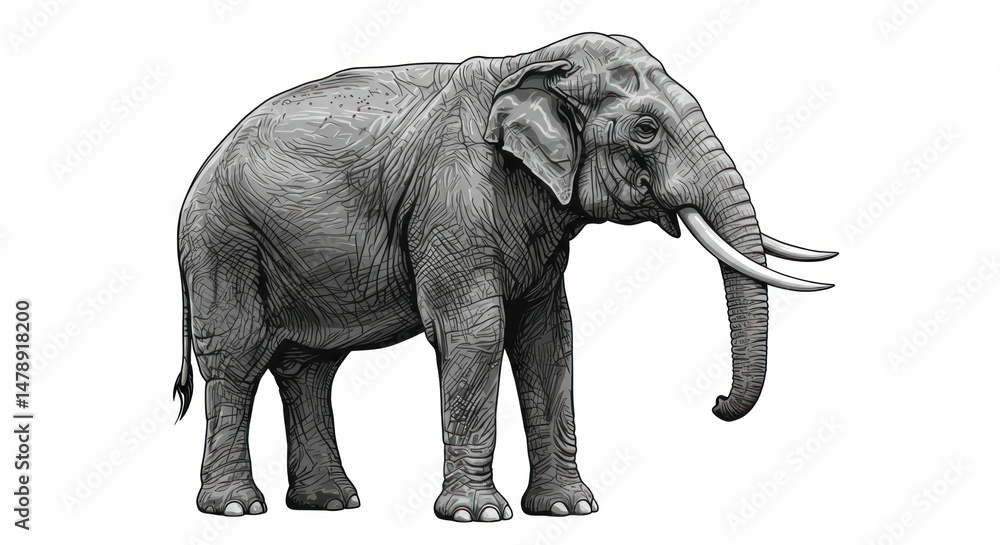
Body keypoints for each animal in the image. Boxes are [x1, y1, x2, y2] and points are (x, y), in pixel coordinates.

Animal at [173, 32, 835, 522]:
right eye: (645, 131)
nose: (717, 403)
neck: (532, 61)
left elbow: (548, 337)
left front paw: (569, 511)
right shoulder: (454, 200)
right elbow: (476, 333)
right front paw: (478, 516)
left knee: (310, 366)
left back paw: (330, 504)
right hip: (223, 242)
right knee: (236, 359)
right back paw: (236, 509)